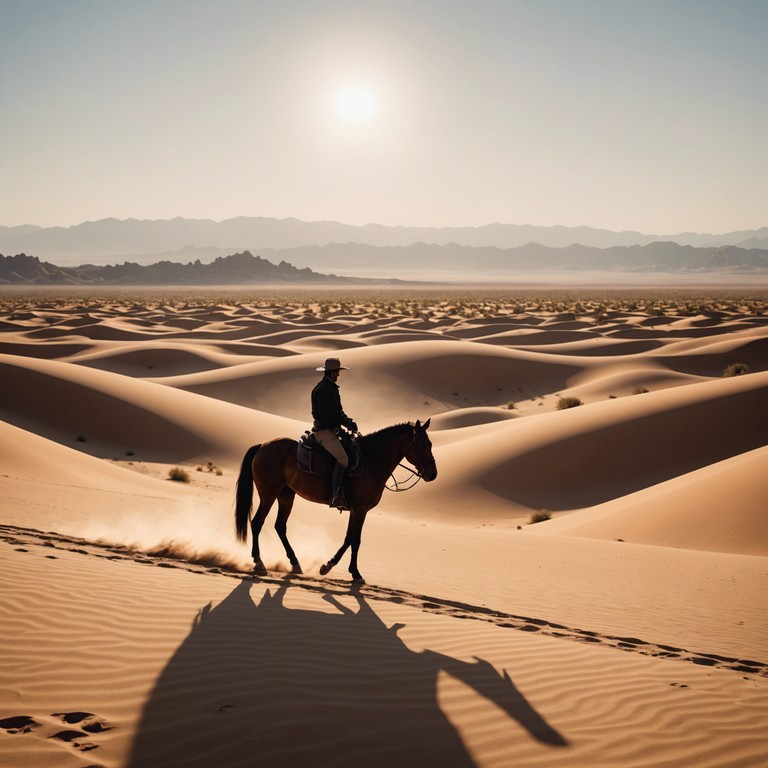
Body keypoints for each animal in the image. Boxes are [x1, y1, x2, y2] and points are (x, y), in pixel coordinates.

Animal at [234, 420, 436, 584]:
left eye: (430, 444)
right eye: (423, 444)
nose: (433, 474)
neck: (372, 461)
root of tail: (263, 446)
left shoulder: (355, 509)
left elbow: (348, 539)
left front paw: (328, 566)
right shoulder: (361, 509)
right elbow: (356, 540)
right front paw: (356, 574)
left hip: (286, 496)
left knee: (280, 526)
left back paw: (295, 563)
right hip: (269, 494)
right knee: (257, 522)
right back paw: (259, 562)